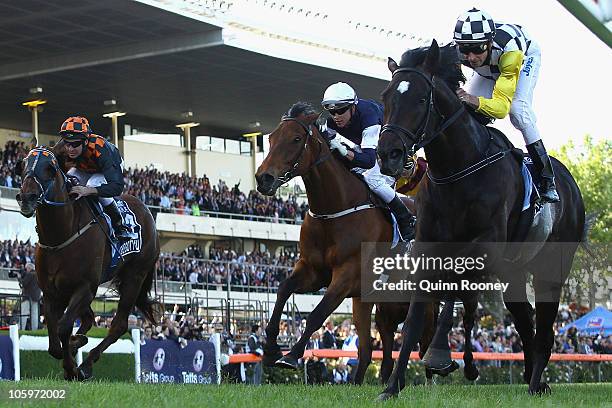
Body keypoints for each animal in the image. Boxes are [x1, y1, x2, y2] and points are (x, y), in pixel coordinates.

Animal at [16, 147, 160, 380]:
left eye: (50, 168)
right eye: (23, 164)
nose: (26, 197)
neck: (61, 234)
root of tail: (147, 212)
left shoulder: (85, 287)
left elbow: (64, 327)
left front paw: (72, 368)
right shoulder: (51, 291)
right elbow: (54, 340)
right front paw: (73, 347)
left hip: (134, 277)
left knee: (118, 325)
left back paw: (86, 364)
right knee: (90, 318)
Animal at [253, 101, 436, 382]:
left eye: (296, 139)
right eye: (271, 138)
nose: (264, 178)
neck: (334, 209)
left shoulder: (346, 275)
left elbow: (317, 314)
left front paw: (291, 356)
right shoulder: (313, 270)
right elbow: (283, 289)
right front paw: (271, 348)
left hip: (424, 303)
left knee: (425, 344)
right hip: (378, 305)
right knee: (372, 351)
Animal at [376, 39, 584, 396]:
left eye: (420, 98)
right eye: (387, 97)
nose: (388, 154)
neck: (459, 169)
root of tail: (570, 184)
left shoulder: (485, 245)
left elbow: (458, 291)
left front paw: (440, 356)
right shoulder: (428, 245)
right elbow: (418, 315)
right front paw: (393, 384)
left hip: (553, 268)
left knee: (544, 325)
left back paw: (536, 380)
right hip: (515, 270)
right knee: (524, 317)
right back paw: (532, 375)